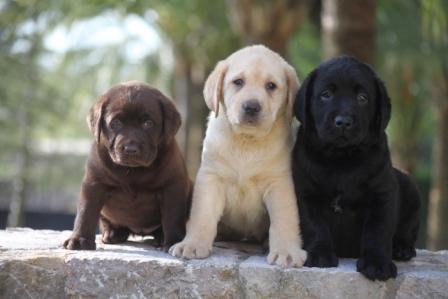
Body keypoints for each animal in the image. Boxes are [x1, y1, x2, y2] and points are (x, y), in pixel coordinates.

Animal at [62, 81, 191, 251]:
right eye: (115, 123)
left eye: (148, 123)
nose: (131, 149)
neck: (132, 171)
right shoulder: (94, 184)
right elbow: (85, 213)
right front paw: (79, 239)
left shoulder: (172, 186)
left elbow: (173, 216)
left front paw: (174, 242)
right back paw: (113, 233)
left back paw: (161, 237)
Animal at [170, 44, 306, 268]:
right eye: (238, 82)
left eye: (271, 86)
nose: (251, 107)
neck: (246, 143)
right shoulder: (211, 177)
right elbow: (202, 214)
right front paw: (192, 243)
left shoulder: (279, 183)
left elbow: (284, 219)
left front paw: (286, 251)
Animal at [292, 55, 422, 282]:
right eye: (326, 95)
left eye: (362, 98)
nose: (343, 122)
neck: (342, 159)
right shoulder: (305, 193)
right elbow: (314, 225)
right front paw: (319, 254)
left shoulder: (382, 194)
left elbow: (377, 231)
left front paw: (377, 263)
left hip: (409, 185)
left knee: (407, 229)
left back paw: (402, 248)